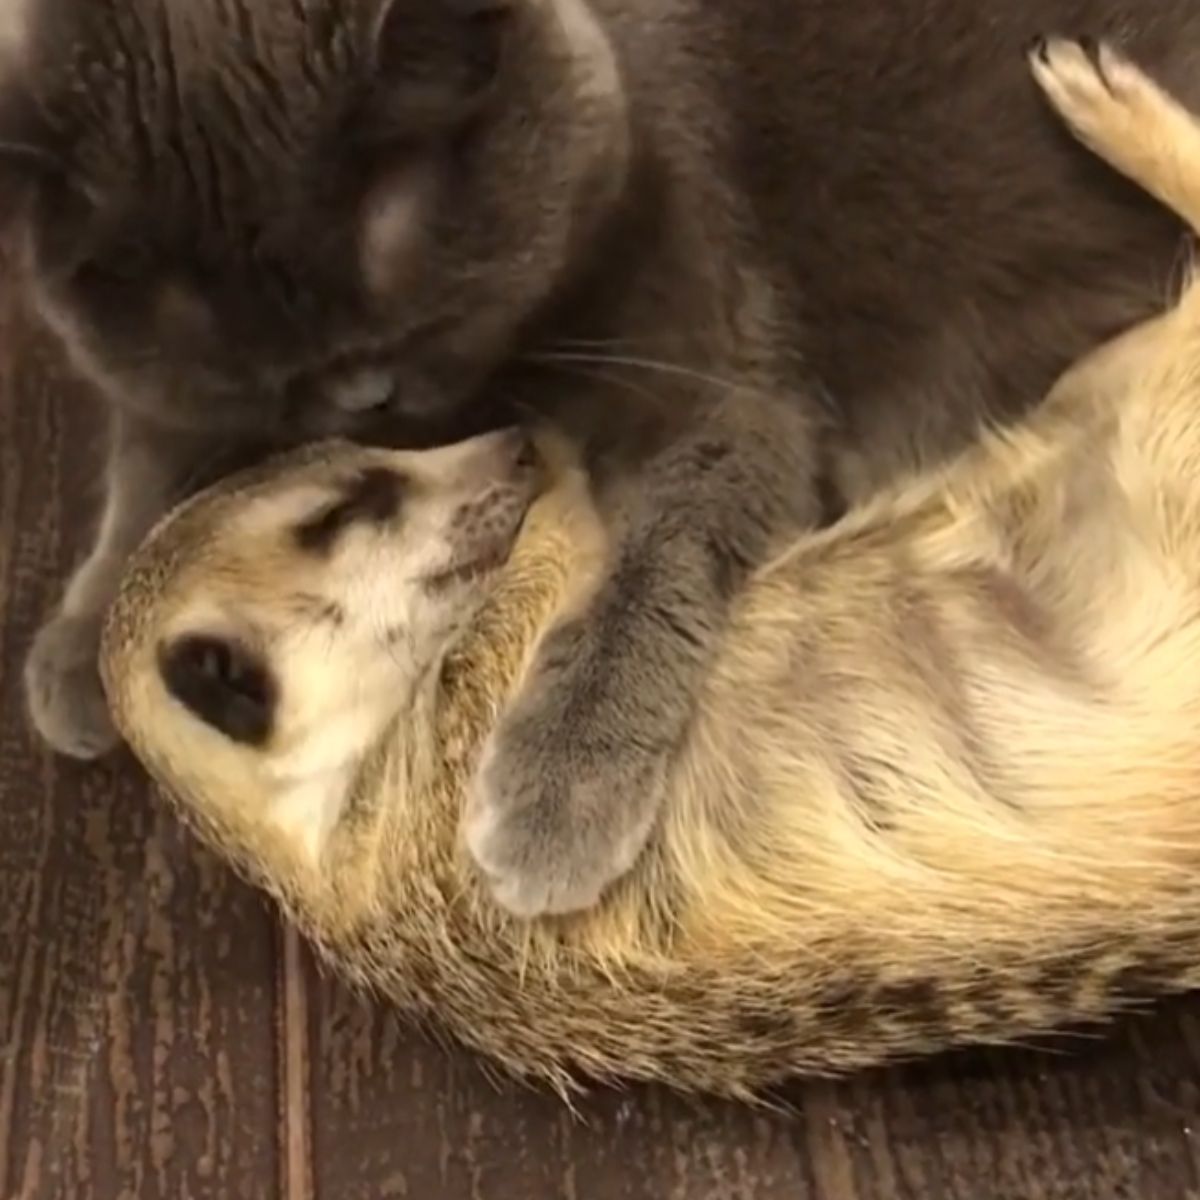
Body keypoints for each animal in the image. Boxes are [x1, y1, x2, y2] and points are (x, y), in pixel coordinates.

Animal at [4, 0, 1195, 912]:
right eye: (270, 376)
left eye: (414, 323)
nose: (367, 405)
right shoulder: (154, 388)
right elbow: (148, 465)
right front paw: (93, 638)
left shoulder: (716, 365)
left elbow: (657, 556)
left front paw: (559, 785)